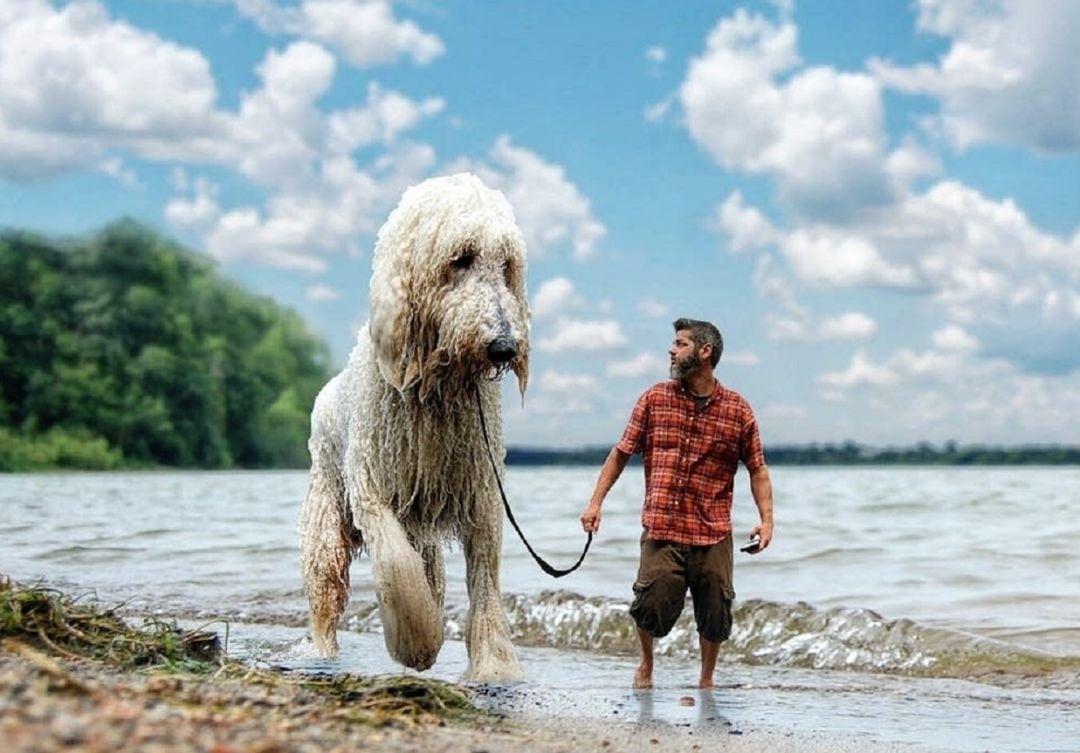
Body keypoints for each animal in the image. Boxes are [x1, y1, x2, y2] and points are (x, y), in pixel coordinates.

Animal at [300, 172, 527, 678]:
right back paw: (322, 653)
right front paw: (417, 645)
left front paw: (494, 667)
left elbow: (485, 581)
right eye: (461, 258)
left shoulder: (481, 489)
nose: (504, 346)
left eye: (507, 264)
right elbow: (397, 571)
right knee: (325, 588)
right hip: (327, 510)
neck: (436, 387)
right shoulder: (372, 487)